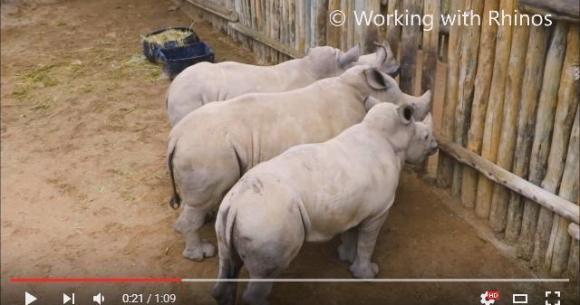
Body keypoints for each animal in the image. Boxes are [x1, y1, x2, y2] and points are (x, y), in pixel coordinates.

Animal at [168, 65, 430, 260]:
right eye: (411, 108)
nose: (415, 114)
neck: (357, 89)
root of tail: (175, 138)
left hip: (201, 147)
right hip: (204, 149)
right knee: (199, 201)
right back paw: (201, 253)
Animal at [212, 101, 436, 304]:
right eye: (425, 137)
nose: (435, 146)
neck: (392, 138)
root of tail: (236, 204)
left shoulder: (353, 205)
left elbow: (351, 233)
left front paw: (346, 258)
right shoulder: (378, 211)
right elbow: (367, 243)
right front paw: (367, 274)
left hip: (230, 215)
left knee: (227, 262)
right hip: (266, 219)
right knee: (264, 275)